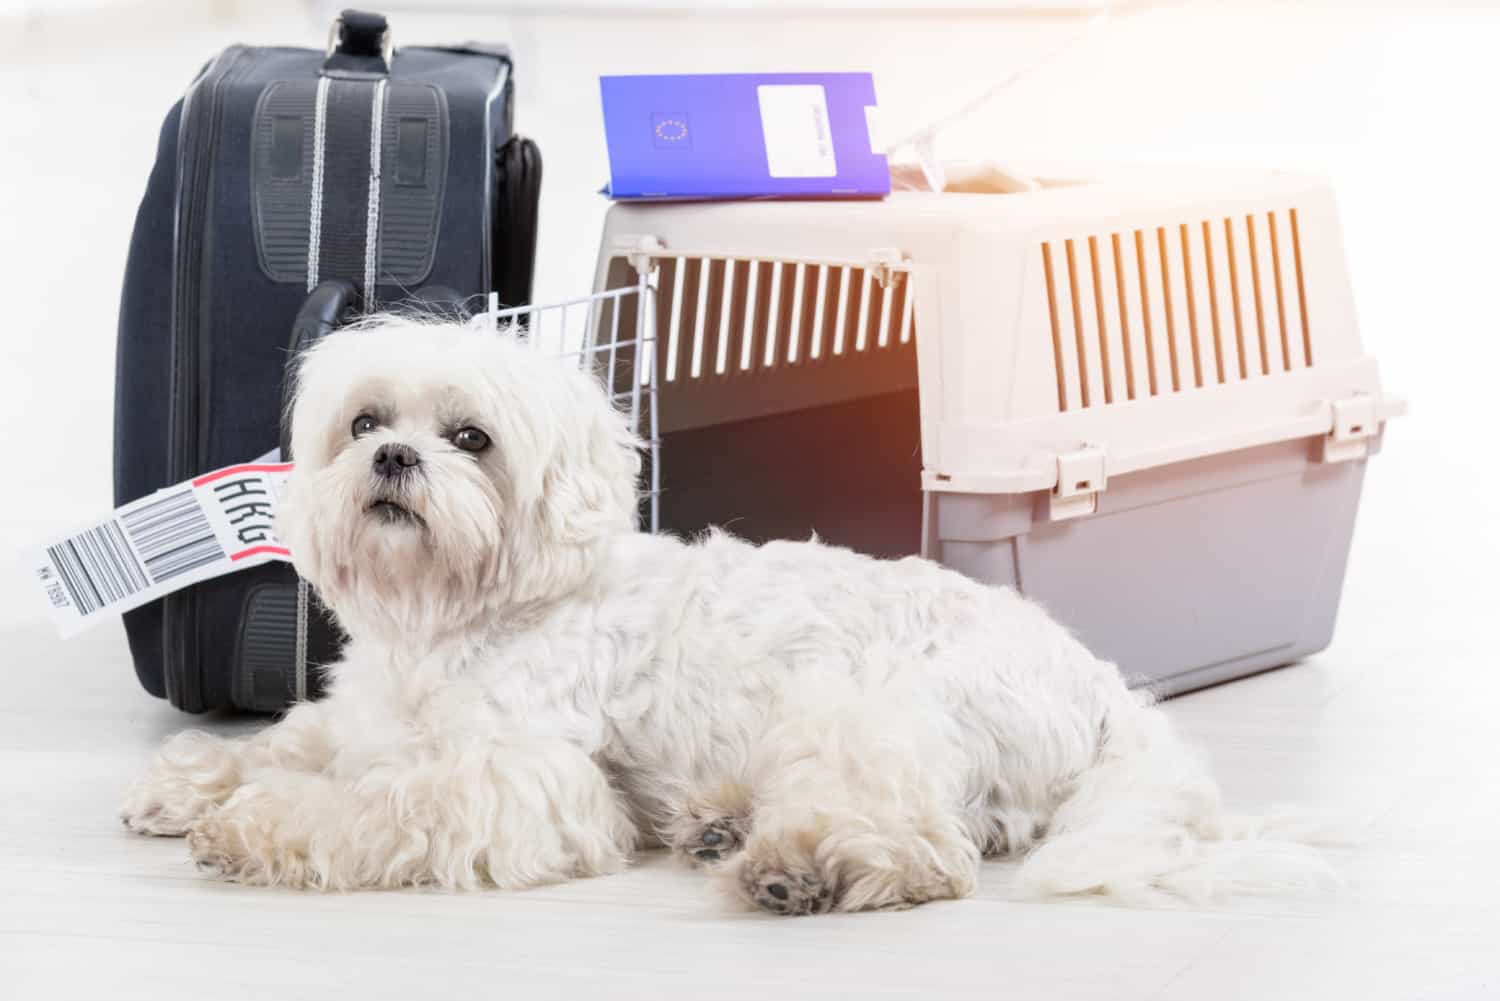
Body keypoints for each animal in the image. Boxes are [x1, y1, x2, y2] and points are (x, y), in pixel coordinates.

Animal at [123, 316, 1332, 912]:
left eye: (471, 438)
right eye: (366, 420)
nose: (393, 459)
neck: (461, 615)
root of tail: (1104, 689)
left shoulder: (522, 781)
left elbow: (380, 802)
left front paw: (258, 825)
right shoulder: (366, 712)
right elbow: (296, 740)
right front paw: (190, 782)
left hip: (862, 707)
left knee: (929, 848)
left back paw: (798, 865)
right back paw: (721, 820)